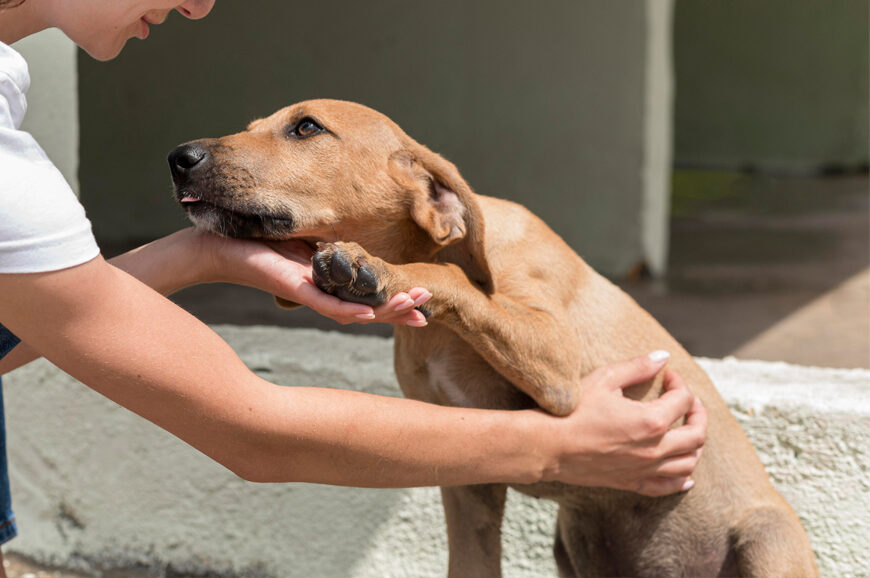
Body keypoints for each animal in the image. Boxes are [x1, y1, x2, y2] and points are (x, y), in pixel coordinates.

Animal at [167, 99, 820, 576]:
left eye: (306, 128)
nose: (179, 156)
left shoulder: (560, 369)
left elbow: (452, 279)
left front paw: (375, 269)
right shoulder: (467, 475)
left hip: (765, 539)